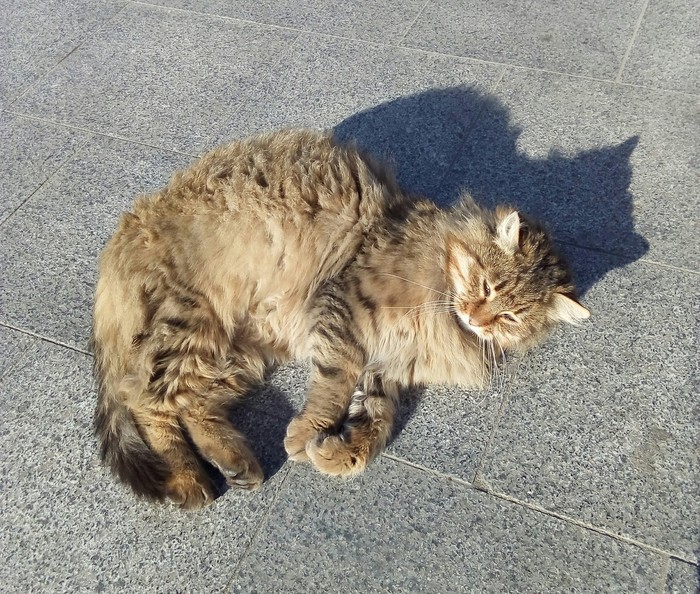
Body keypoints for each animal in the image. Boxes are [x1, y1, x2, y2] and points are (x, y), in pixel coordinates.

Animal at [90, 127, 588, 506]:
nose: (479, 319)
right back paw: (189, 479)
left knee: (190, 404)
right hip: (191, 326)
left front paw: (338, 453)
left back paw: (234, 462)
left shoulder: (387, 365)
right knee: (146, 401)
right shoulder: (341, 307)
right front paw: (308, 433)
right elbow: (334, 384)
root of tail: (125, 230)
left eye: (511, 317)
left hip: (236, 353)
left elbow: (376, 422)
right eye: (488, 287)